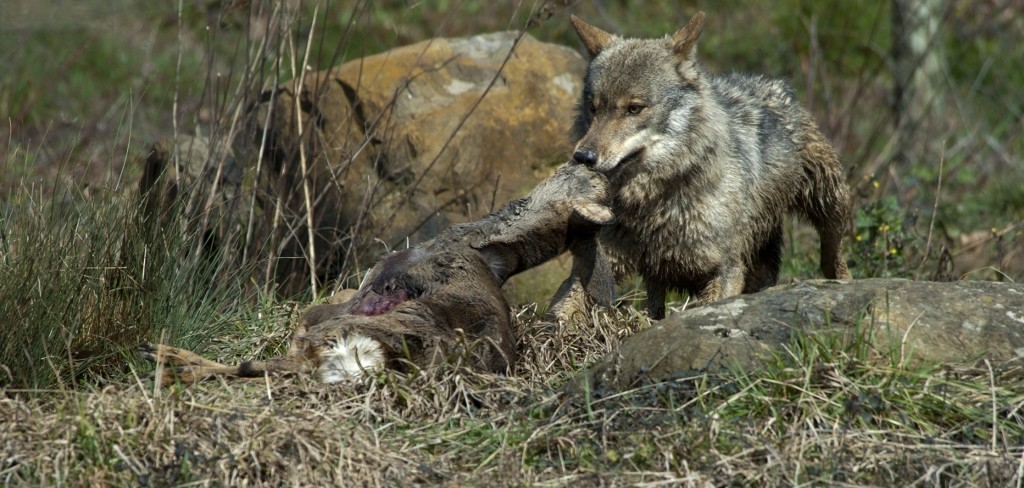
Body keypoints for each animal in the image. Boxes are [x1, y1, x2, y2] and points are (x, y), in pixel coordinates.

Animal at [567, 11, 852, 319]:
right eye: (593, 107)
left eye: (634, 108)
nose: (583, 157)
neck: (656, 205)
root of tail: (770, 83)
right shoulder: (603, 263)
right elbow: (562, 312)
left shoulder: (725, 271)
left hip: (830, 205)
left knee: (833, 255)